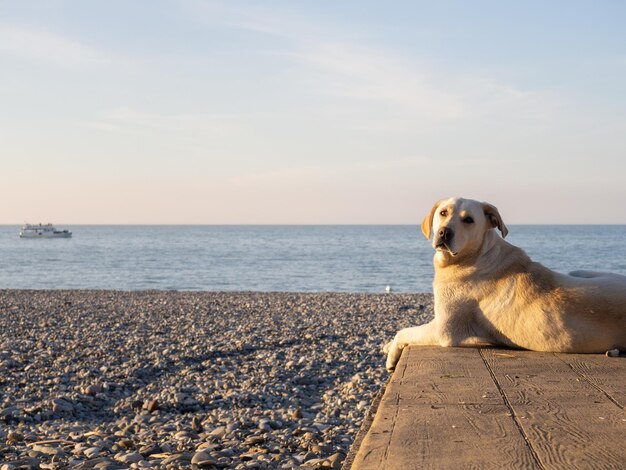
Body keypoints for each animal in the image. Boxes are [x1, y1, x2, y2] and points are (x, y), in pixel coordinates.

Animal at [382, 196, 620, 370]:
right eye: (443, 213)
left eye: (469, 220)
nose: (444, 233)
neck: (475, 256)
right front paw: (386, 346)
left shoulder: (444, 330)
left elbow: (403, 331)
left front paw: (391, 356)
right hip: (578, 271)